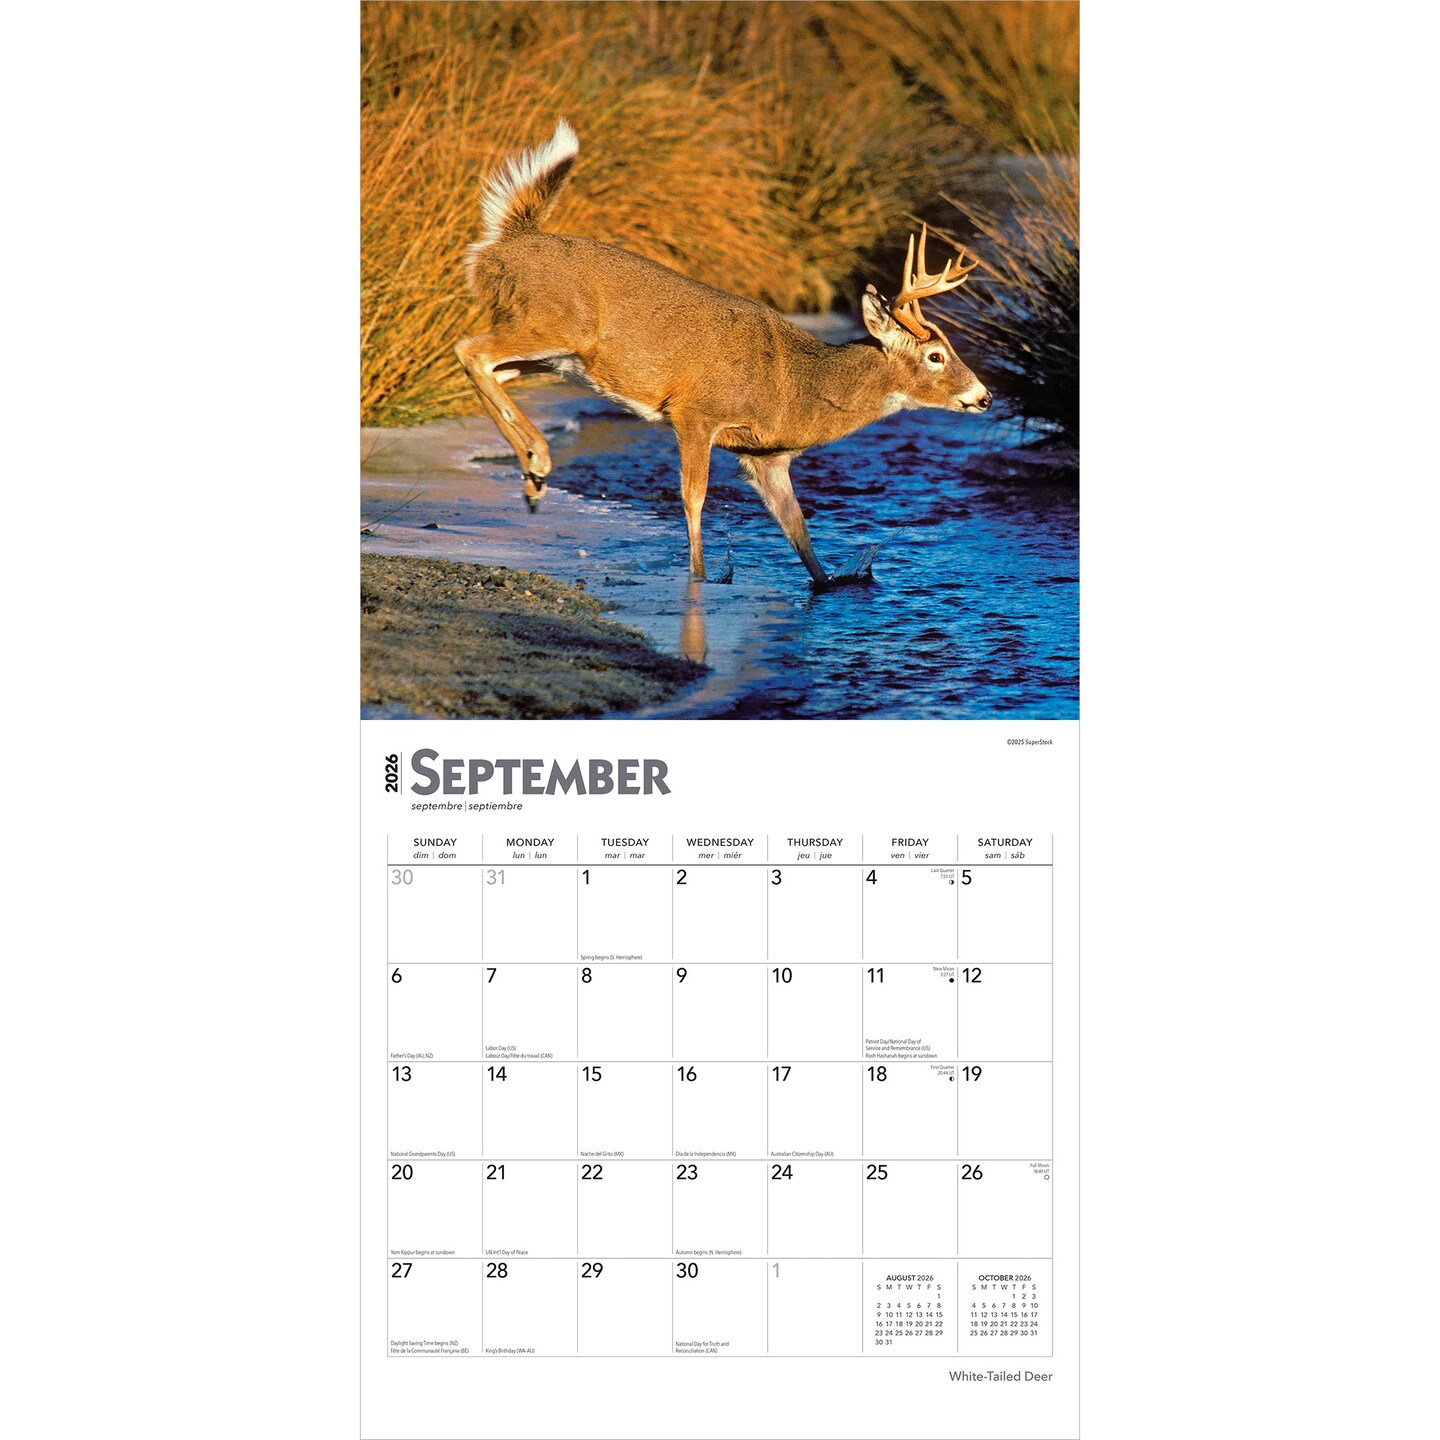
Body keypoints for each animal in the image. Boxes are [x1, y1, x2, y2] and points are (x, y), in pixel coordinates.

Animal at [456, 120, 992, 586]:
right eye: (936, 356)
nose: (985, 397)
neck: (795, 387)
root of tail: (507, 241)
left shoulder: (766, 457)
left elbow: (798, 528)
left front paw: (830, 583)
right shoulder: (696, 411)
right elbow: (695, 497)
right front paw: (700, 576)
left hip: (552, 354)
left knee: (492, 371)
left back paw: (532, 475)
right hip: (552, 323)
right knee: (469, 349)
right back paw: (539, 462)